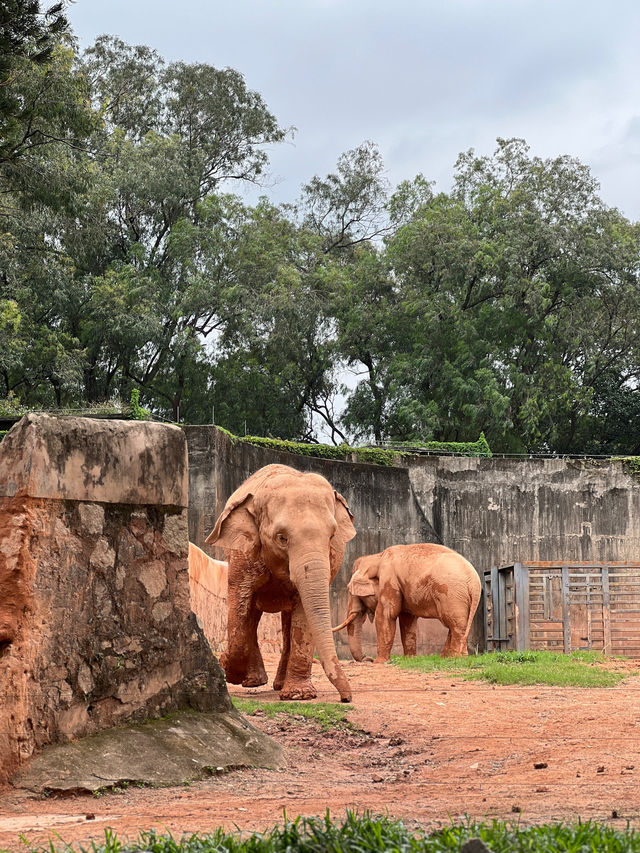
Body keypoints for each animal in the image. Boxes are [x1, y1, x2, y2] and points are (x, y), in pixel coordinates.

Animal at [205, 466, 356, 700]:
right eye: (282, 538)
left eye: (332, 536)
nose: (346, 698)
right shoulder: (243, 553)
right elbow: (240, 602)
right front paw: (227, 669)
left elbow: (303, 614)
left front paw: (298, 695)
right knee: (252, 614)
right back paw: (254, 682)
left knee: (286, 621)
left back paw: (278, 685)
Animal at [336, 544, 480, 664]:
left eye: (350, 590)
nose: (368, 658)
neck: (378, 556)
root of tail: (474, 582)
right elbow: (407, 619)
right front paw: (410, 659)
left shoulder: (389, 579)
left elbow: (386, 615)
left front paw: (380, 662)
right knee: (455, 624)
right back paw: (449, 657)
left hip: (451, 594)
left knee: (455, 625)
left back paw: (455, 658)